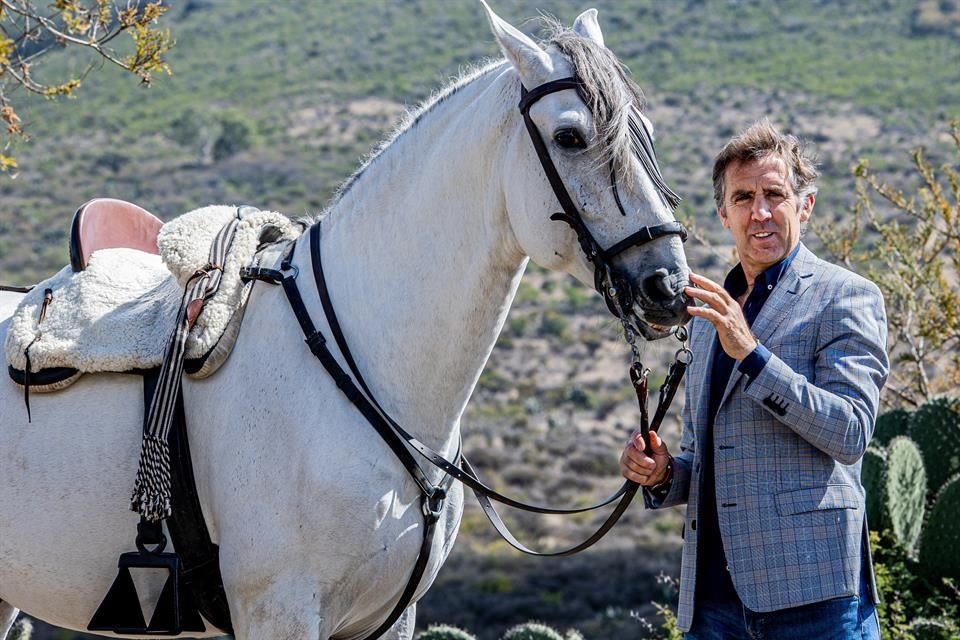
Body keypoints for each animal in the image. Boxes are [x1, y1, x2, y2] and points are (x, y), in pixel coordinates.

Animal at [0, 6, 688, 640]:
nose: (669, 287)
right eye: (570, 137)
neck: (358, 366)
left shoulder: (389, 618)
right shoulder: (280, 612)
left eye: (648, 131)